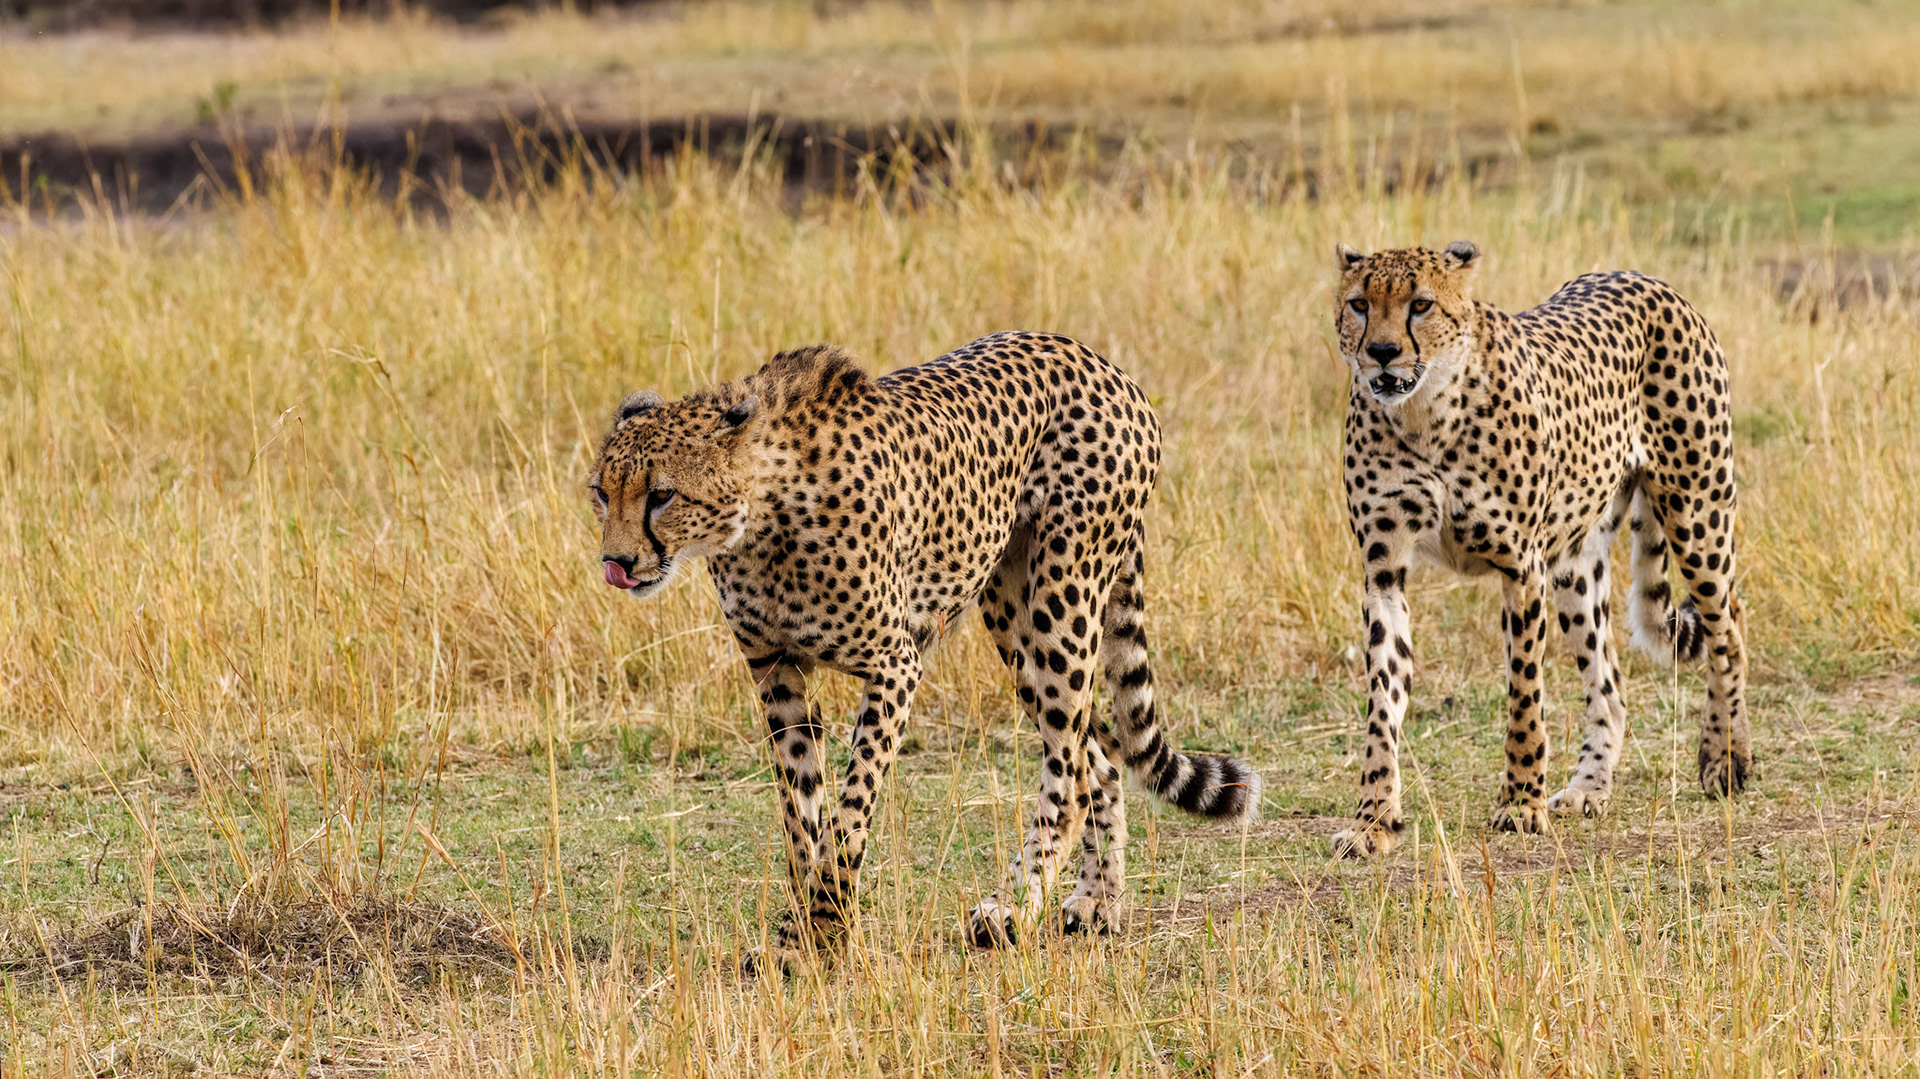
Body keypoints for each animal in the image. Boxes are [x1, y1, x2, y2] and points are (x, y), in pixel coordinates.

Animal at [590, 331, 1263, 960]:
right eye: (602, 492)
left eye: (662, 494)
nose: (616, 563)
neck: (762, 518)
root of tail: (1094, 357)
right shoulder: (775, 670)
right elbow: (801, 816)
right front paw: (796, 934)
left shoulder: (894, 664)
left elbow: (850, 811)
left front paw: (824, 931)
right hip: (1011, 615)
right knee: (1094, 755)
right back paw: (1095, 903)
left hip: (1064, 597)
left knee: (1070, 771)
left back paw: (1013, 909)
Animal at [1328, 240, 1750, 858]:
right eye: (1359, 304)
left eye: (1420, 304)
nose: (1382, 353)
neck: (1425, 414)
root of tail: (1641, 275)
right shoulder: (1383, 571)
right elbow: (1383, 703)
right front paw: (1374, 819)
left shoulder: (1521, 567)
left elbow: (1524, 692)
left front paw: (1520, 803)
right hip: (1577, 565)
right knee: (1611, 686)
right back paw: (1588, 788)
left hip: (1698, 516)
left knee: (1729, 630)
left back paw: (1726, 758)